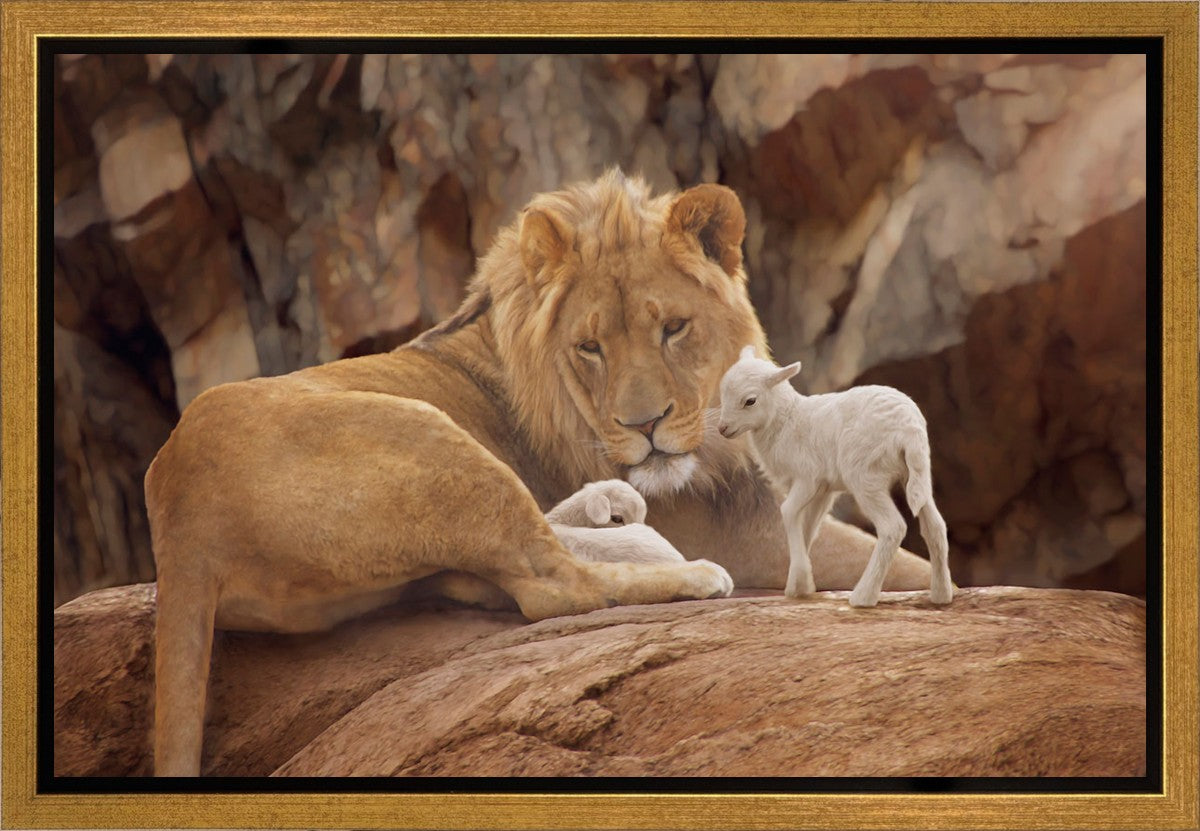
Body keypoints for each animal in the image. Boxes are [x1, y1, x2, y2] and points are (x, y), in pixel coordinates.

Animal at [717, 346, 953, 608]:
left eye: (750, 400)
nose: (722, 428)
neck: (787, 420)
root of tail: (909, 429)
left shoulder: (807, 478)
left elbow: (788, 512)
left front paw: (800, 581)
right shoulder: (824, 490)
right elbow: (808, 527)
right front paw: (799, 584)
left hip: (865, 476)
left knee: (893, 527)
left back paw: (863, 596)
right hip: (917, 473)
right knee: (935, 526)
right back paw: (941, 594)